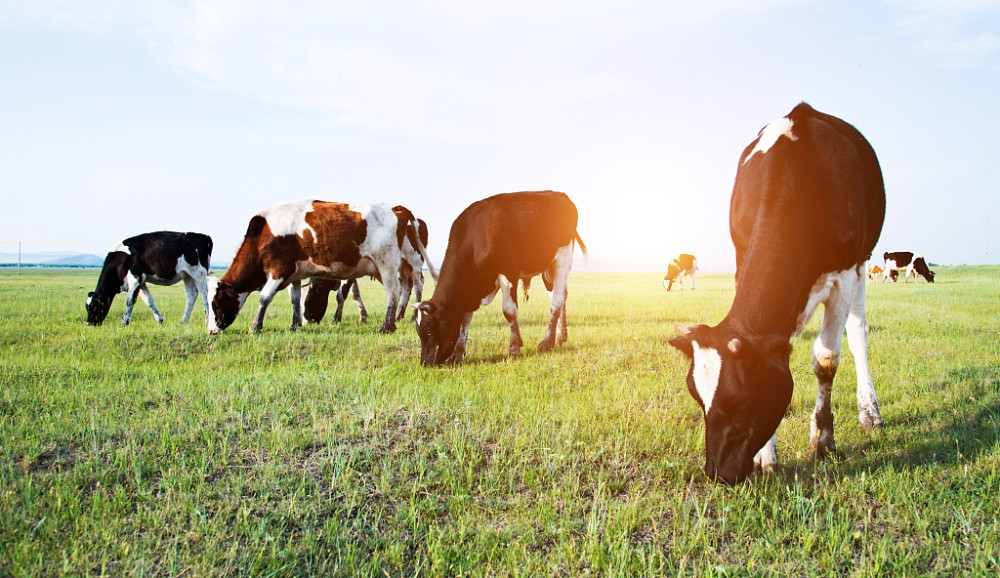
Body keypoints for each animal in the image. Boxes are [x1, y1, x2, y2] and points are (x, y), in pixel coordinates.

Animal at [207, 198, 430, 332]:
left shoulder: (279, 269)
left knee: (397, 292)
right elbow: (294, 297)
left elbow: (264, 297)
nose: (211, 330)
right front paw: (295, 324)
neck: (264, 233)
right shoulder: (295, 273)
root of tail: (397, 209)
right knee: (403, 288)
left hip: (391, 263)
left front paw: (255, 327)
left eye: (216, 303)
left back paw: (389, 325)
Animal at [414, 191, 584, 366]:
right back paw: (560, 337)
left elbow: (509, 311)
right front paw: (457, 354)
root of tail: (559, 194)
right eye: (418, 332)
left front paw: (514, 348)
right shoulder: (470, 289)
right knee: (561, 296)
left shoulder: (508, 272)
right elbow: (465, 320)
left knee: (556, 301)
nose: (425, 362)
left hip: (563, 258)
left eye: (429, 330)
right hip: (547, 268)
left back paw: (547, 342)